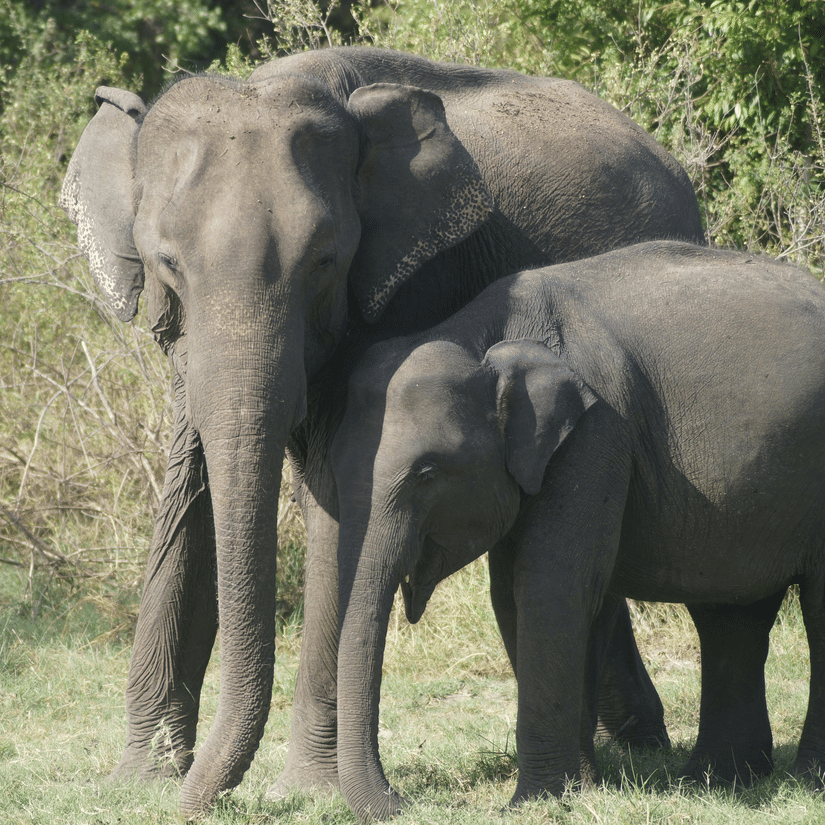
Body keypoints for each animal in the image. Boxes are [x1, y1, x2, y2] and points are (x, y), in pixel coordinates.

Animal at [59, 47, 703, 815]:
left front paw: (308, 789)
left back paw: (638, 746)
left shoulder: (398, 293)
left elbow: (336, 501)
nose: (202, 799)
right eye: (167, 264)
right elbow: (192, 489)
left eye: (325, 262)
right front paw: (141, 780)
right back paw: (631, 742)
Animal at [331, 240, 825, 822]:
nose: (406, 800)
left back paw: (802, 780)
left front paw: (533, 802)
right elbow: (522, 597)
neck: (483, 336)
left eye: (426, 473)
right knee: (731, 612)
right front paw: (581, 787)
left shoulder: (597, 433)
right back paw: (720, 781)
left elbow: (551, 588)